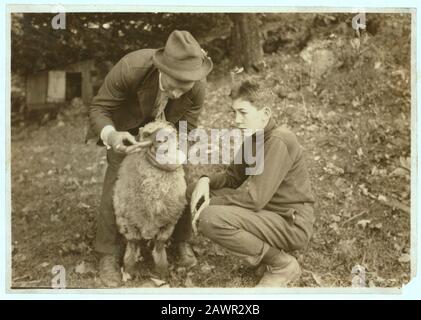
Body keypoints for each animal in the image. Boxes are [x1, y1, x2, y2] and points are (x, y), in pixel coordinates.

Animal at [115, 120, 187, 278]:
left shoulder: (169, 222)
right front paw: (129, 270)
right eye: (147, 134)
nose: (161, 141)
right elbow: (133, 243)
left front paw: (162, 271)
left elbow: (160, 244)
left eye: (169, 134)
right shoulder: (128, 221)